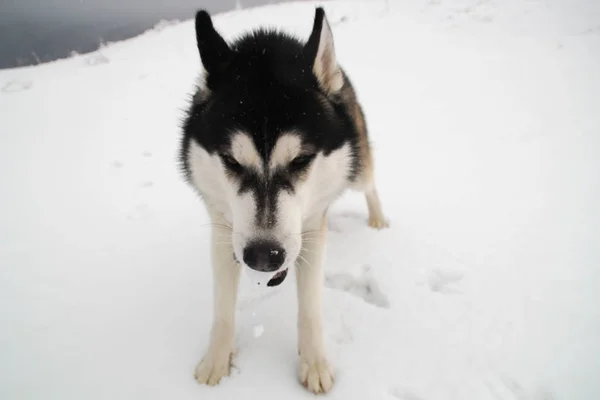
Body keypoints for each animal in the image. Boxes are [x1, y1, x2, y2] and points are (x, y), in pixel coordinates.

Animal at [178, 6, 390, 394]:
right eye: (231, 161)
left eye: (301, 160)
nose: (264, 257)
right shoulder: (224, 231)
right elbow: (222, 307)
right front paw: (217, 359)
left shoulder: (311, 230)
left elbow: (310, 307)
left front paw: (314, 362)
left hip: (357, 169)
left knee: (370, 184)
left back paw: (378, 220)